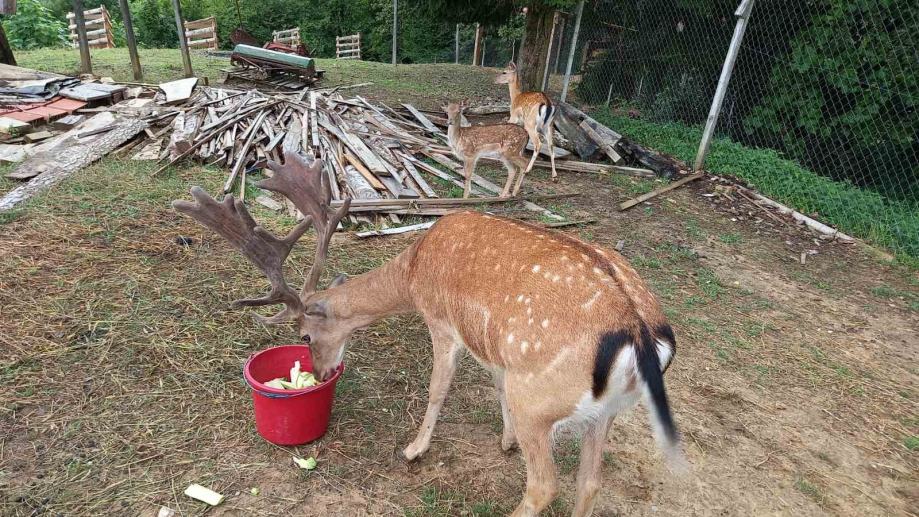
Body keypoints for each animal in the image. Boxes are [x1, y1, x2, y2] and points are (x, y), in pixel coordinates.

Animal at [173, 151, 684, 517]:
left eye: (305, 336)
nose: (317, 375)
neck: (412, 270)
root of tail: (641, 334)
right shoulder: (494, 346)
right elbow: (495, 381)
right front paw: (504, 441)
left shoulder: (440, 320)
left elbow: (438, 388)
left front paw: (414, 449)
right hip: (604, 411)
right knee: (589, 483)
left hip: (539, 400)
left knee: (544, 485)